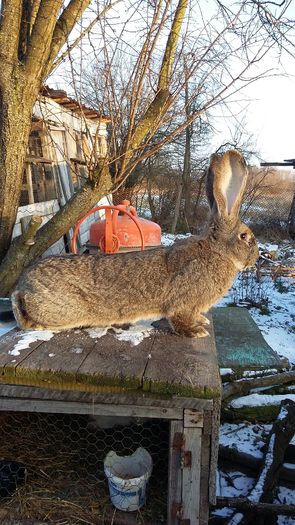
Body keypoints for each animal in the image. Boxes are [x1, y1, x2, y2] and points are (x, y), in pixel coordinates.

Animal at [11, 149, 260, 338]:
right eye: (244, 237)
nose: (256, 257)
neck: (218, 251)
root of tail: (21, 289)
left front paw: (202, 322)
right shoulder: (182, 304)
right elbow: (179, 319)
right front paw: (196, 331)